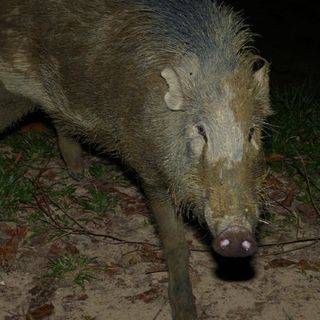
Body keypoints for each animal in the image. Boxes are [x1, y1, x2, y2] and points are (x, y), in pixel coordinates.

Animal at [0, 1, 270, 318]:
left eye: (251, 131)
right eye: (200, 130)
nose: (238, 236)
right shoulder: (148, 170)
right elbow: (175, 243)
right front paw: (185, 312)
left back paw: (80, 175)